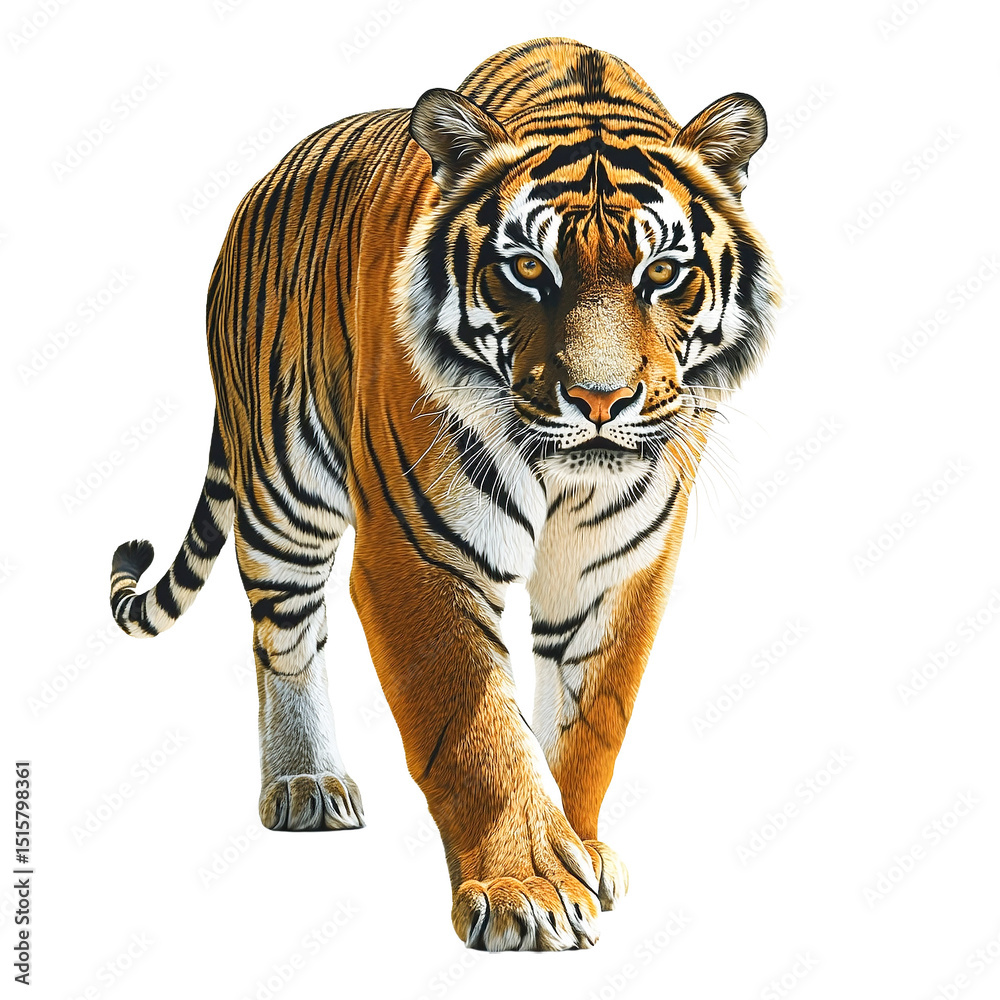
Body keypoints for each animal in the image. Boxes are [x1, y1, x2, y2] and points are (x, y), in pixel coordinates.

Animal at [108, 36, 779, 952]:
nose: (601, 402)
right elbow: (474, 727)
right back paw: (305, 785)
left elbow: (589, 723)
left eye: (663, 273)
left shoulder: (618, 565)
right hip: (285, 491)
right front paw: (525, 887)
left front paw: (581, 849)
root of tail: (266, 178)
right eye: (528, 268)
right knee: (284, 634)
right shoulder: (419, 554)